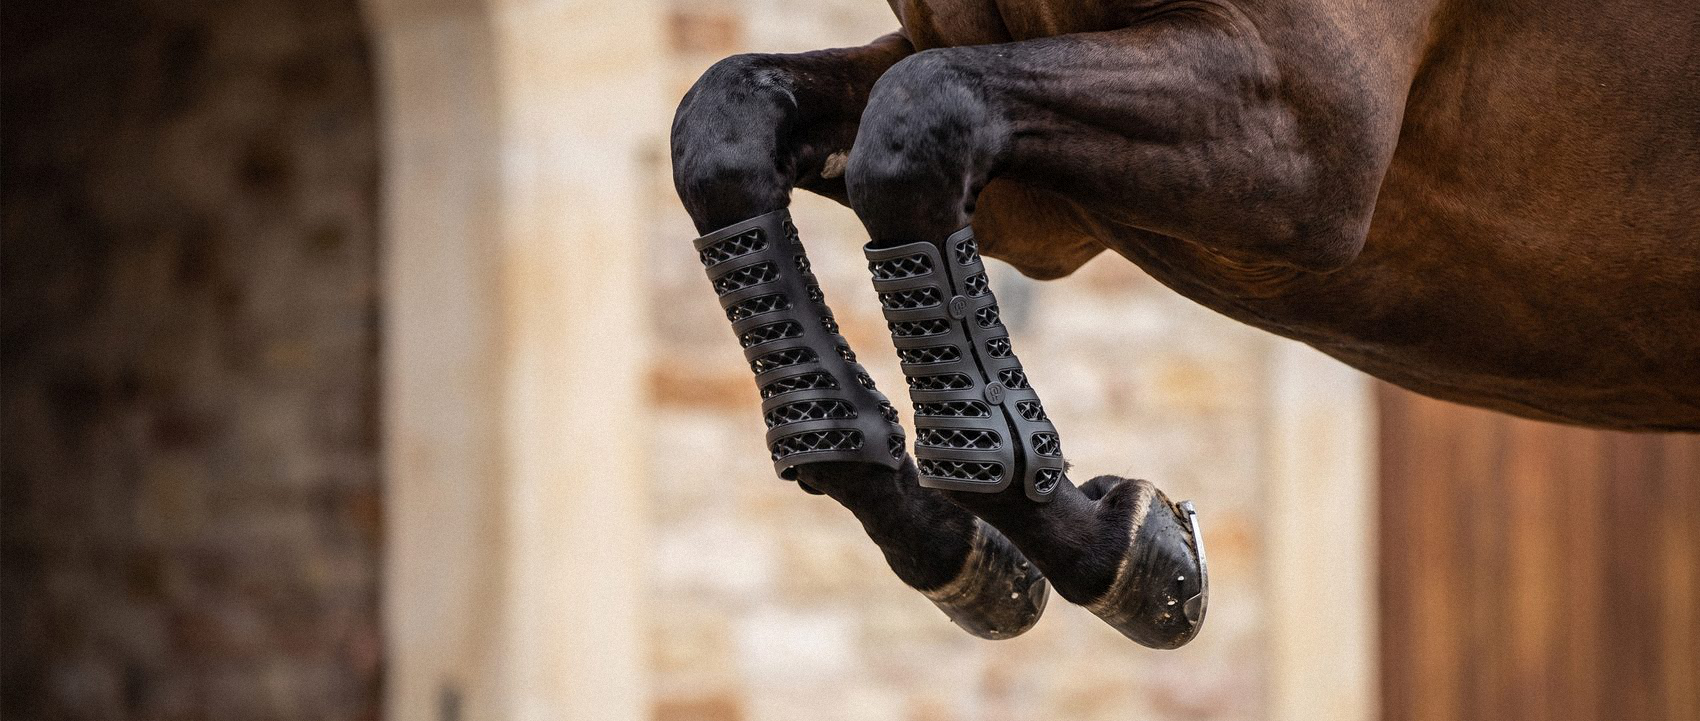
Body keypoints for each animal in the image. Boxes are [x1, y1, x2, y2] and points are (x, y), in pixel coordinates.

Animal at [669, 0, 1700, 647]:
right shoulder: (1031, 199)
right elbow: (728, 124)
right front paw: (956, 540)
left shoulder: (1299, 128)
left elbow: (914, 126)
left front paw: (1127, 546)